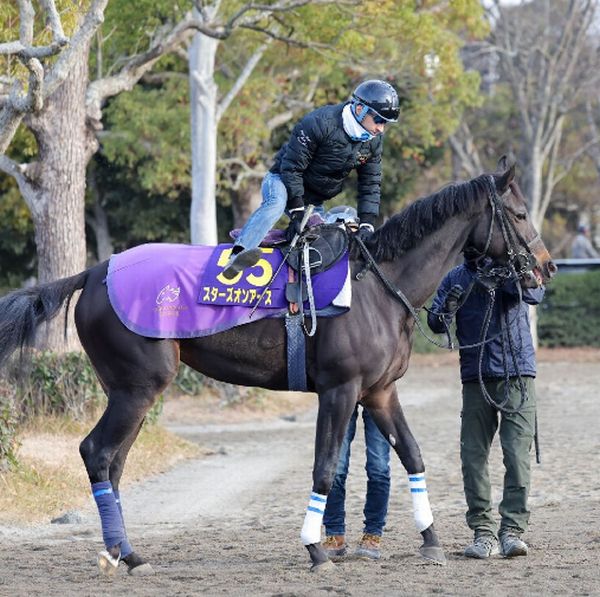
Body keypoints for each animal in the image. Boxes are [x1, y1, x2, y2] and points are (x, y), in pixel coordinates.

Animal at [0, 157, 556, 576]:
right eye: (520, 213)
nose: (547, 266)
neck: (379, 285)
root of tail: (95, 271)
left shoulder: (380, 392)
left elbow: (414, 457)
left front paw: (431, 540)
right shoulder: (339, 390)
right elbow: (325, 467)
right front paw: (315, 549)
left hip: (131, 391)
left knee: (114, 464)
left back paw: (125, 552)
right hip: (138, 386)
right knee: (97, 453)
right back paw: (127, 554)